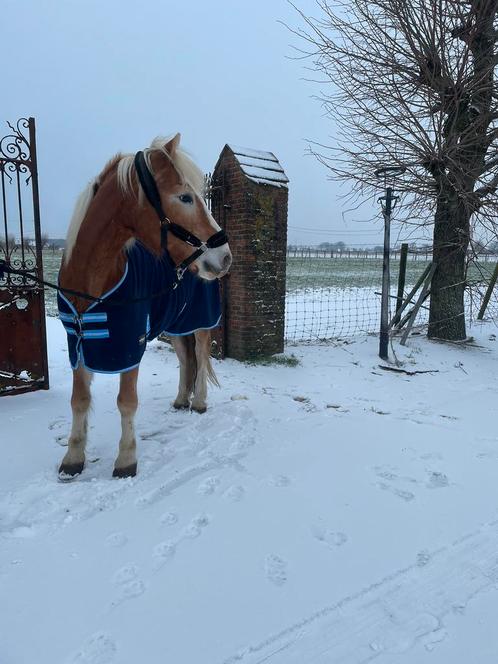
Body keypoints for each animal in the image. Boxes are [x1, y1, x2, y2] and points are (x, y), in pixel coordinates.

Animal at [57, 134, 232, 478]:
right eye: (184, 197)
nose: (224, 256)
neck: (92, 278)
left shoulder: (129, 344)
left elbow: (126, 400)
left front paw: (126, 460)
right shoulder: (78, 344)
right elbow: (78, 400)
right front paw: (73, 458)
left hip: (200, 322)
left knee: (201, 353)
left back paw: (199, 402)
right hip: (175, 324)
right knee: (185, 359)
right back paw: (181, 399)